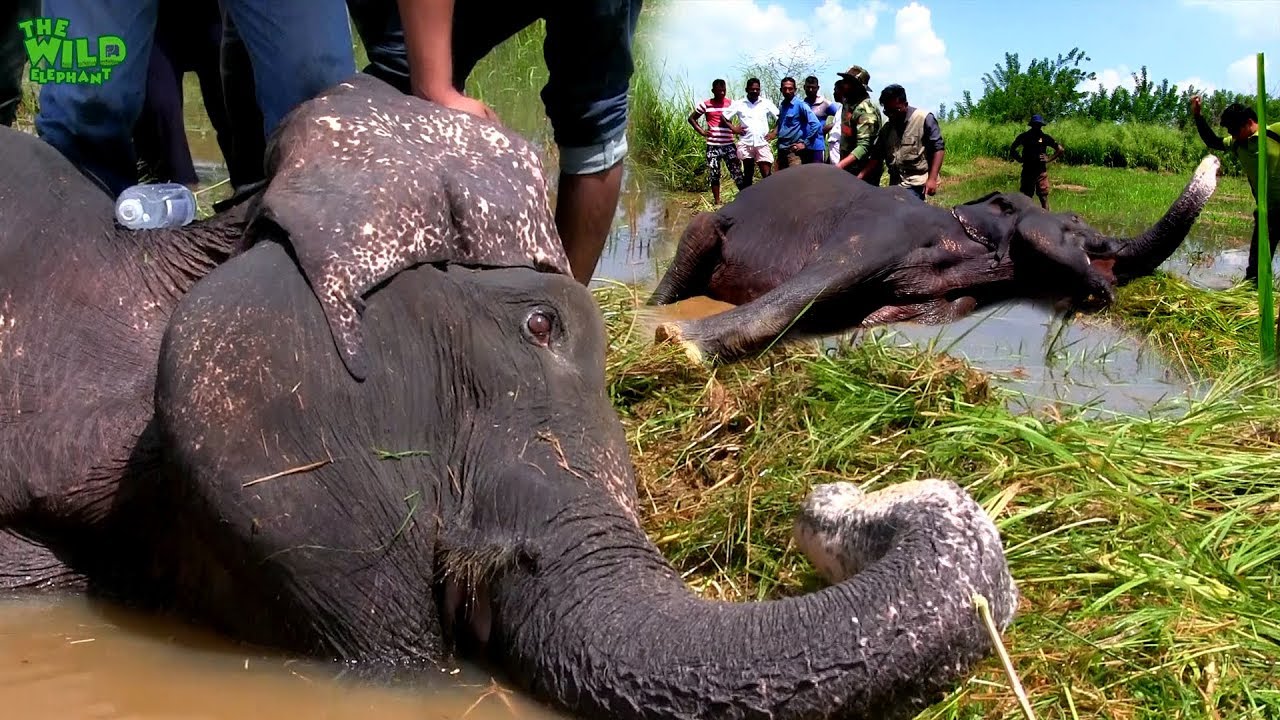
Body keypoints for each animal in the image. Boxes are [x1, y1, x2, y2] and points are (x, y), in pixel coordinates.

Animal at [647, 157, 1221, 363]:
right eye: (1078, 223)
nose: (1215, 160)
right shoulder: (880, 228)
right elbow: (821, 282)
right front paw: (680, 345)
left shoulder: (957, 289)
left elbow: (948, 305)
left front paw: (865, 329)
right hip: (706, 228)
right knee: (692, 247)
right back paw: (654, 314)